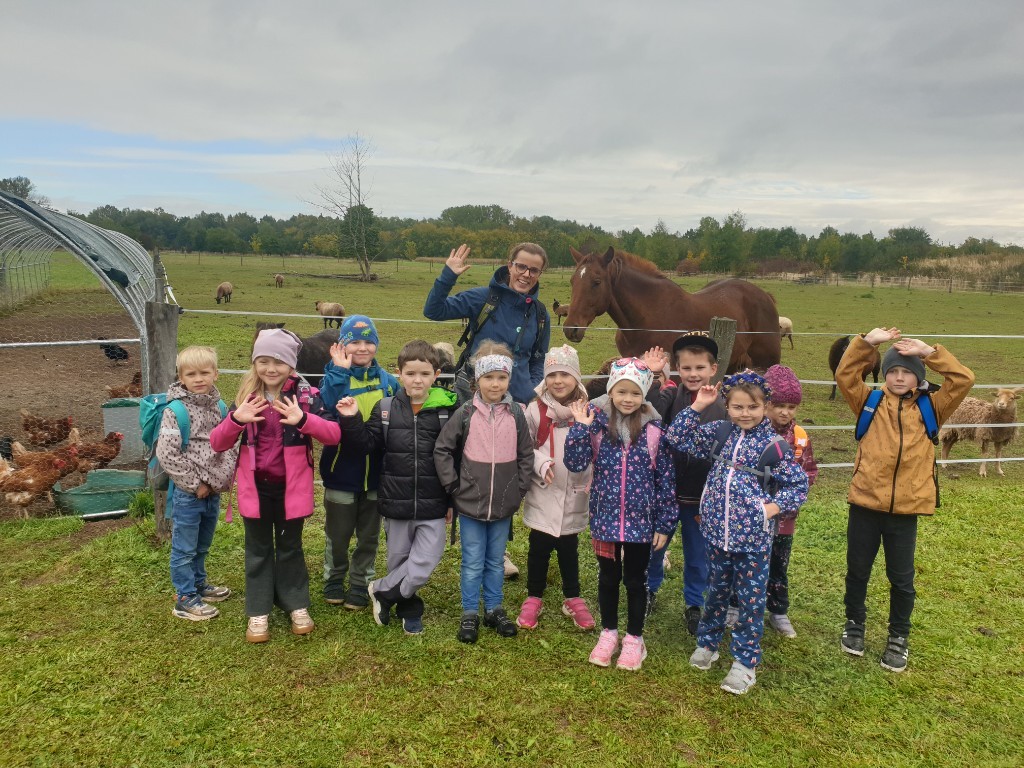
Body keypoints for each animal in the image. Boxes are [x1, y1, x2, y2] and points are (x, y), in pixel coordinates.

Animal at [563, 246, 780, 372]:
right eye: (572, 281)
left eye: (596, 282)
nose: (571, 328)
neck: (644, 321)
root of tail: (766, 296)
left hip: (766, 363)